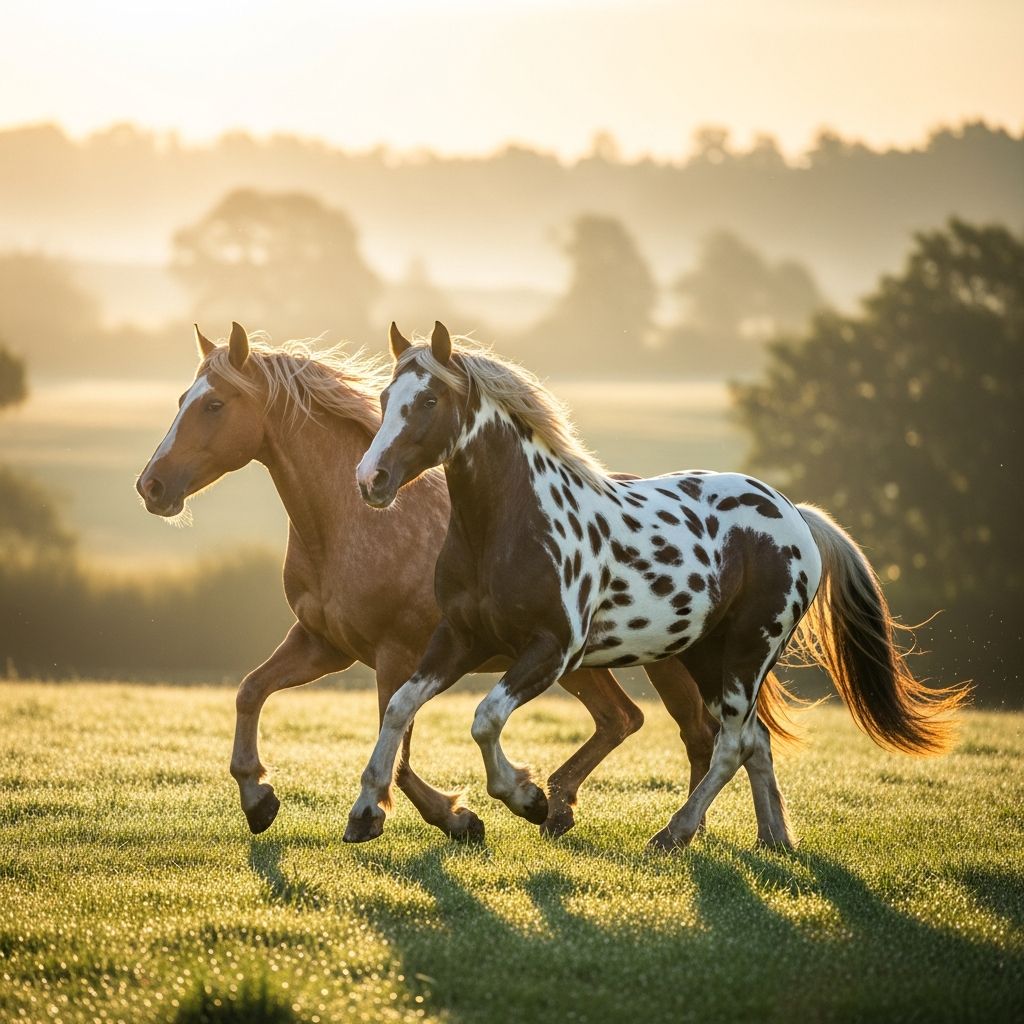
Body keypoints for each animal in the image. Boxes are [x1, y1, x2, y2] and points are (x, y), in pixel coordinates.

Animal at [135, 322, 730, 841]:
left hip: (661, 659)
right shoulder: (324, 645)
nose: (151, 487)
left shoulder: (396, 654)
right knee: (622, 719)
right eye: (184, 399)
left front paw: (449, 817)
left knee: (696, 733)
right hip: (583, 662)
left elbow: (396, 753)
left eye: (214, 405)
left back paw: (676, 828)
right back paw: (561, 807)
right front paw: (258, 799)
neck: (348, 524)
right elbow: (250, 691)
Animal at [346, 321, 968, 849]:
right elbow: (399, 708)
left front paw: (528, 798)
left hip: (747, 652)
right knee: (754, 742)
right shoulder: (460, 638)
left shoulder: (550, 649)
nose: (371, 480)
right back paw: (773, 841)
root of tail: (795, 515)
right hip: (705, 657)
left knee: (731, 744)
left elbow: (485, 719)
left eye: (429, 401)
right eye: (384, 399)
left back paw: (674, 834)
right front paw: (366, 813)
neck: (511, 522)